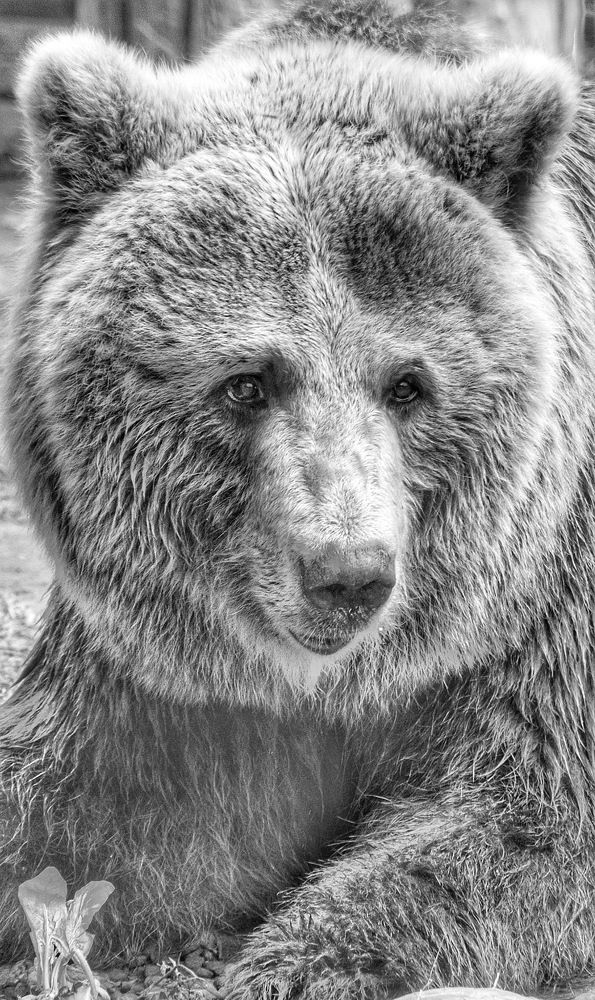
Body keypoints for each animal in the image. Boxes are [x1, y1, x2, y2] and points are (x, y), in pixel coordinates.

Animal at [2, 0, 595, 997]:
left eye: (408, 383)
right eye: (246, 382)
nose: (348, 573)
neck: (332, 684)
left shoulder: (537, 614)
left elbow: (523, 823)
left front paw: (297, 962)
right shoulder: (153, 672)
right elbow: (71, 804)